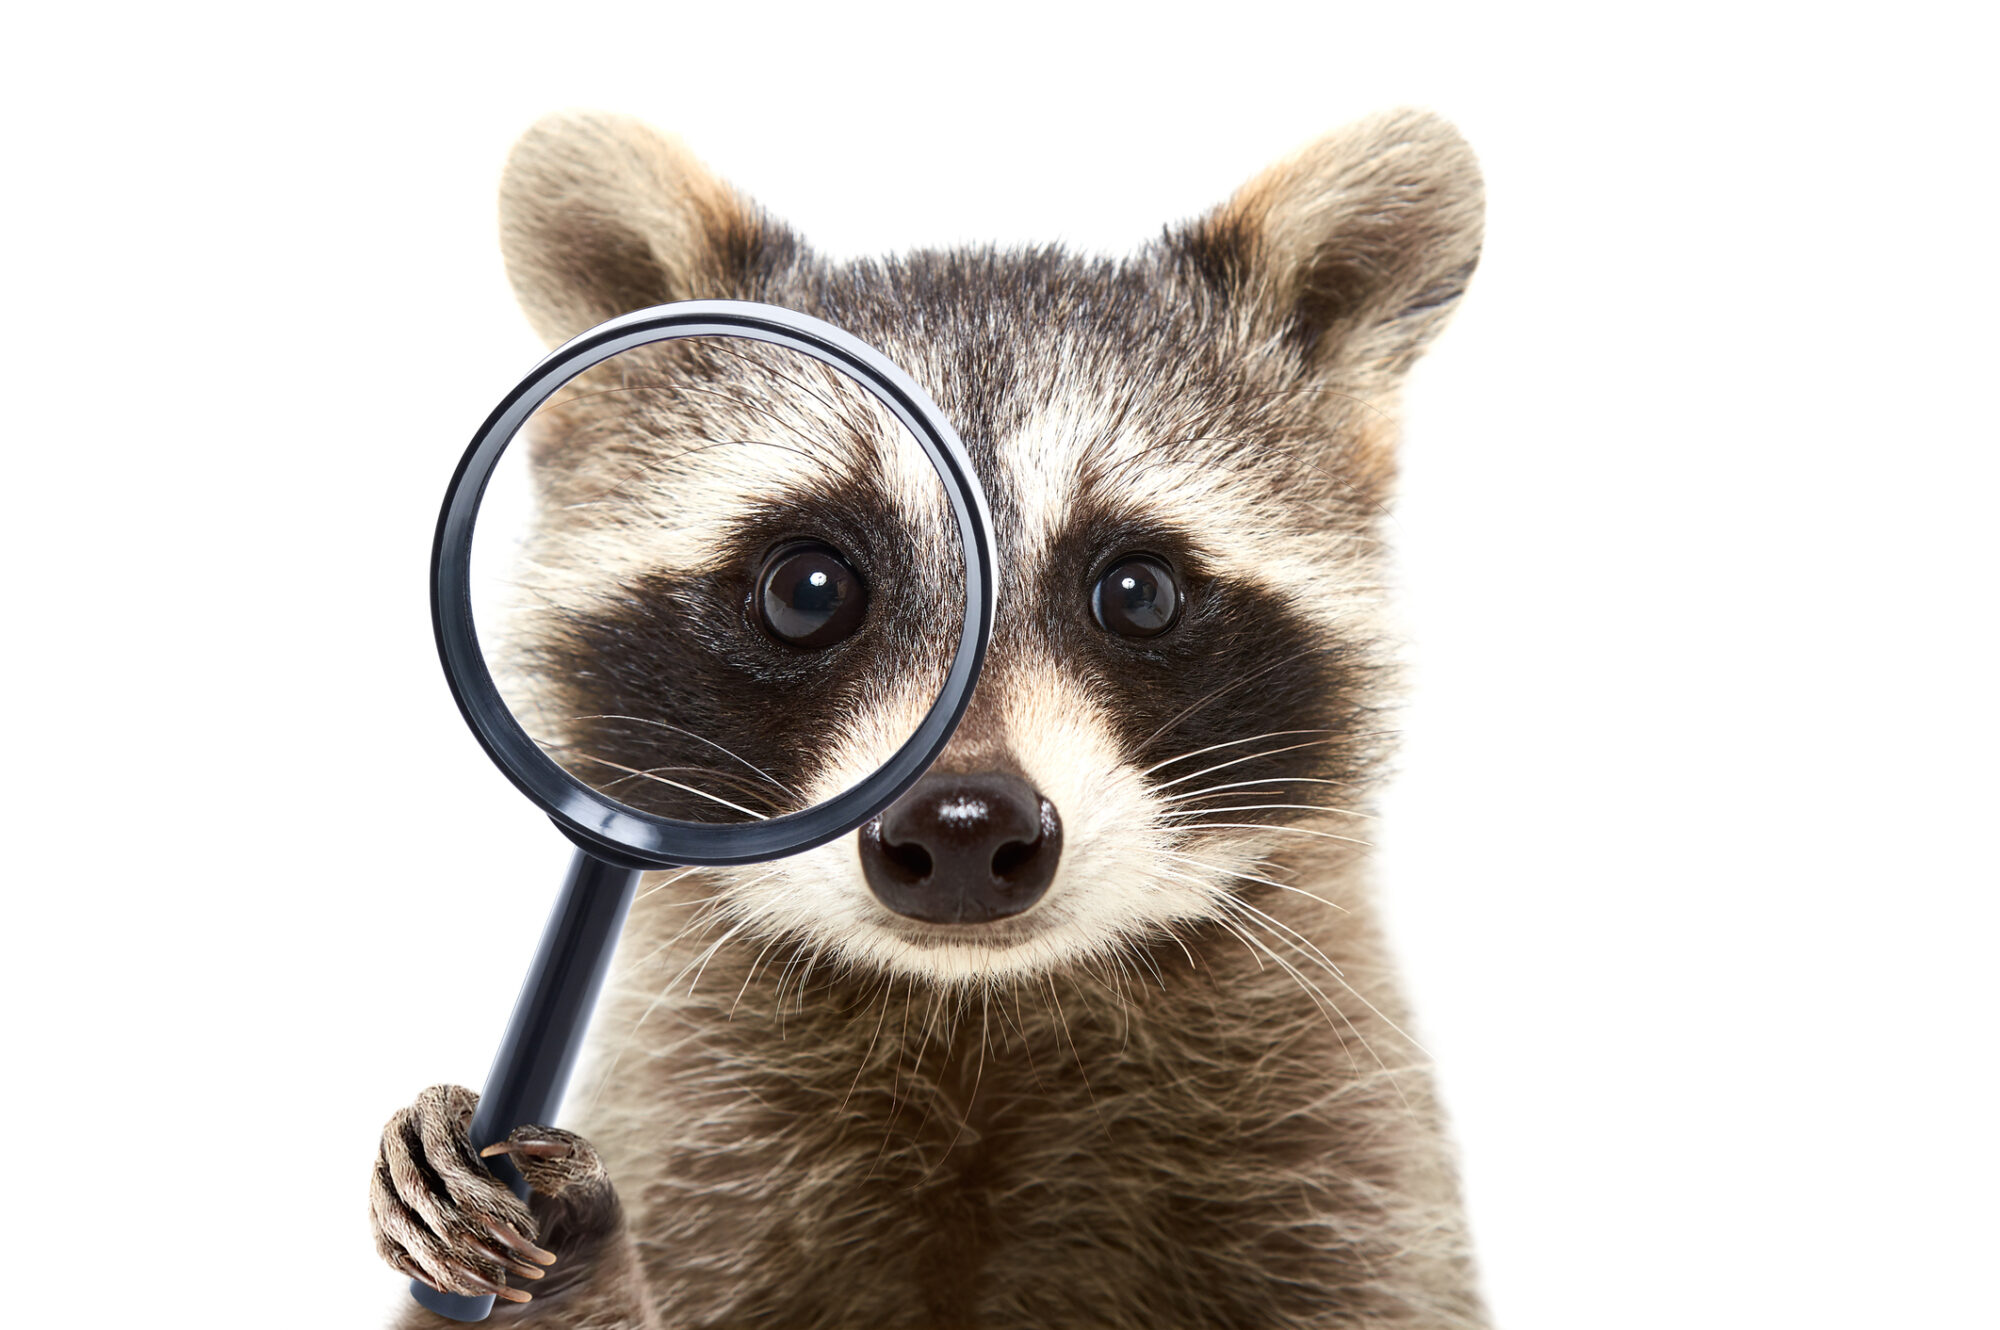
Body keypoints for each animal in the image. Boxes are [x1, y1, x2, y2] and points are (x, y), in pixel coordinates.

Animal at [371, 108, 1487, 1329]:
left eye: (1138, 592)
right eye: (806, 590)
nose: (962, 827)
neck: (977, 1016)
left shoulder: (1347, 1168)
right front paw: (563, 1235)